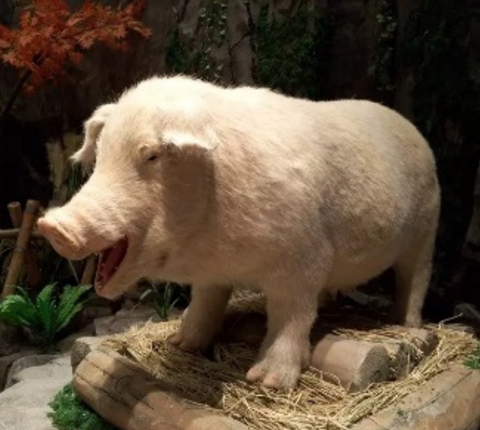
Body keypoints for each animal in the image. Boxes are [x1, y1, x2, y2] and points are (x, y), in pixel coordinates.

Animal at [37, 75, 440, 390]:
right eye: (102, 154)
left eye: (152, 155)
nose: (53, 226)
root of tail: (412, 128)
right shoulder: (212, 274)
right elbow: (205, 302)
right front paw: (179, 344)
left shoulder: (304, 258)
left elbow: (290, 314)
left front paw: (266, 382)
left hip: (427, 227)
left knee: (416, 278)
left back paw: (406, 323)